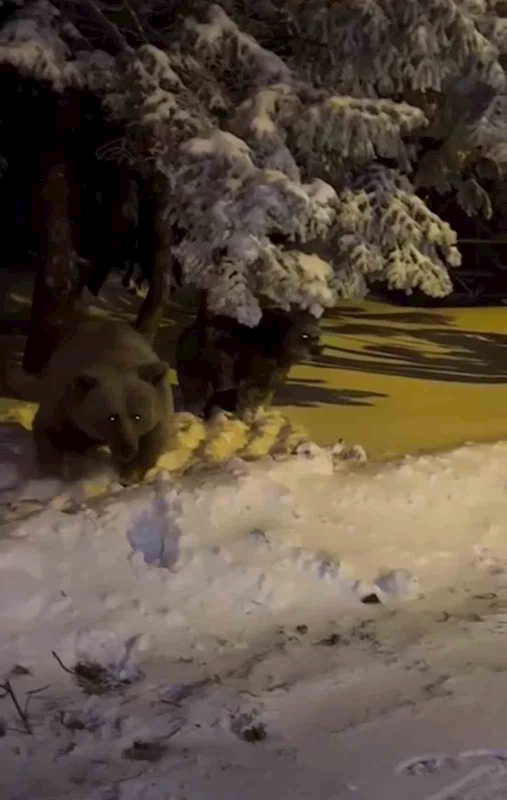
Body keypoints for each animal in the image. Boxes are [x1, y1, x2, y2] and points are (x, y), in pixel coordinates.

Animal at [33, 318, 175, 482]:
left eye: (137, 416)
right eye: (111, 417)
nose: (127, 449)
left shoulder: (160, 408)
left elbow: (153, 441)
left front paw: (129, 475)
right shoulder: (61, 401)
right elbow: (48, 433)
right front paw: (50, 475)